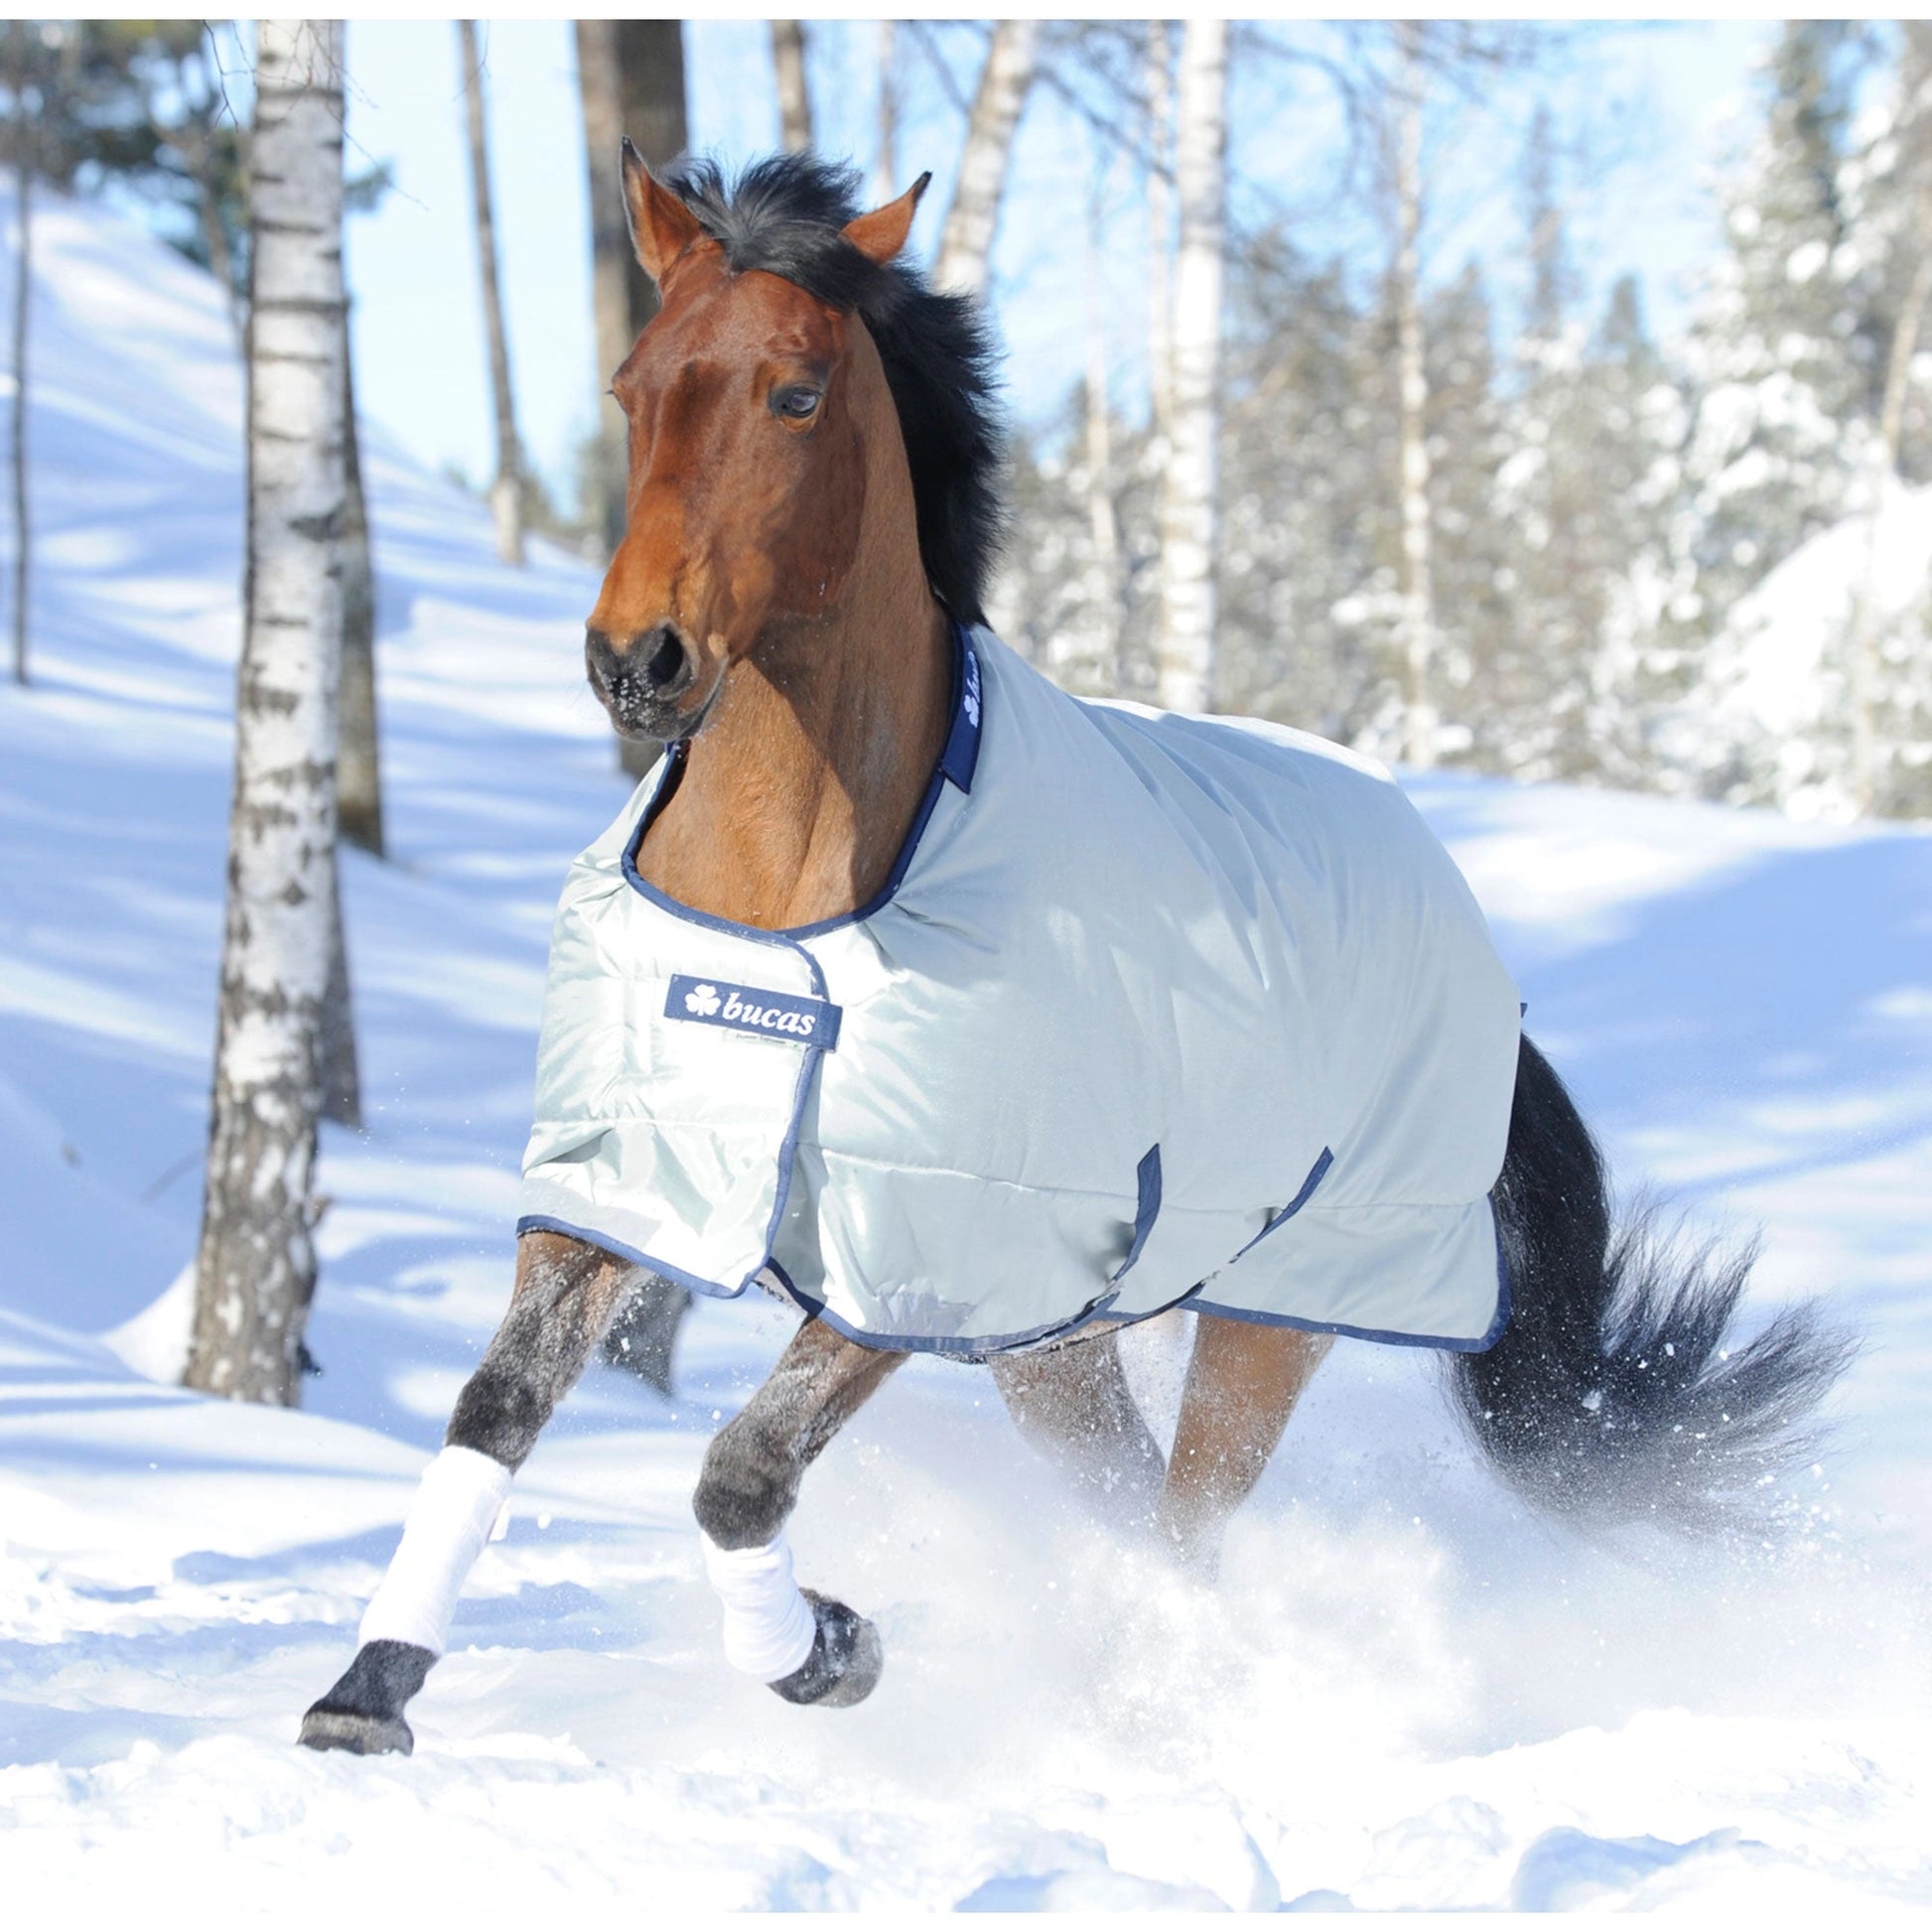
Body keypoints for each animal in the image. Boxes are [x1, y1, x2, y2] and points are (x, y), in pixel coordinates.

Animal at [299, 150, 1850, 1755]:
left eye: (796, 392)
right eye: (631, 383)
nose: (636, 660)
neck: (791, 911)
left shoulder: (922, 1270)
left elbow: (739, 1472)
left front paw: (829, 1645)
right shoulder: (624, 1186)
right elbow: (493, 1407)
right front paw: (365, 1694)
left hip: (1261, 1325)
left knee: (1182, 1520)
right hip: (1060, 1345)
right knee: (1124, 1507)